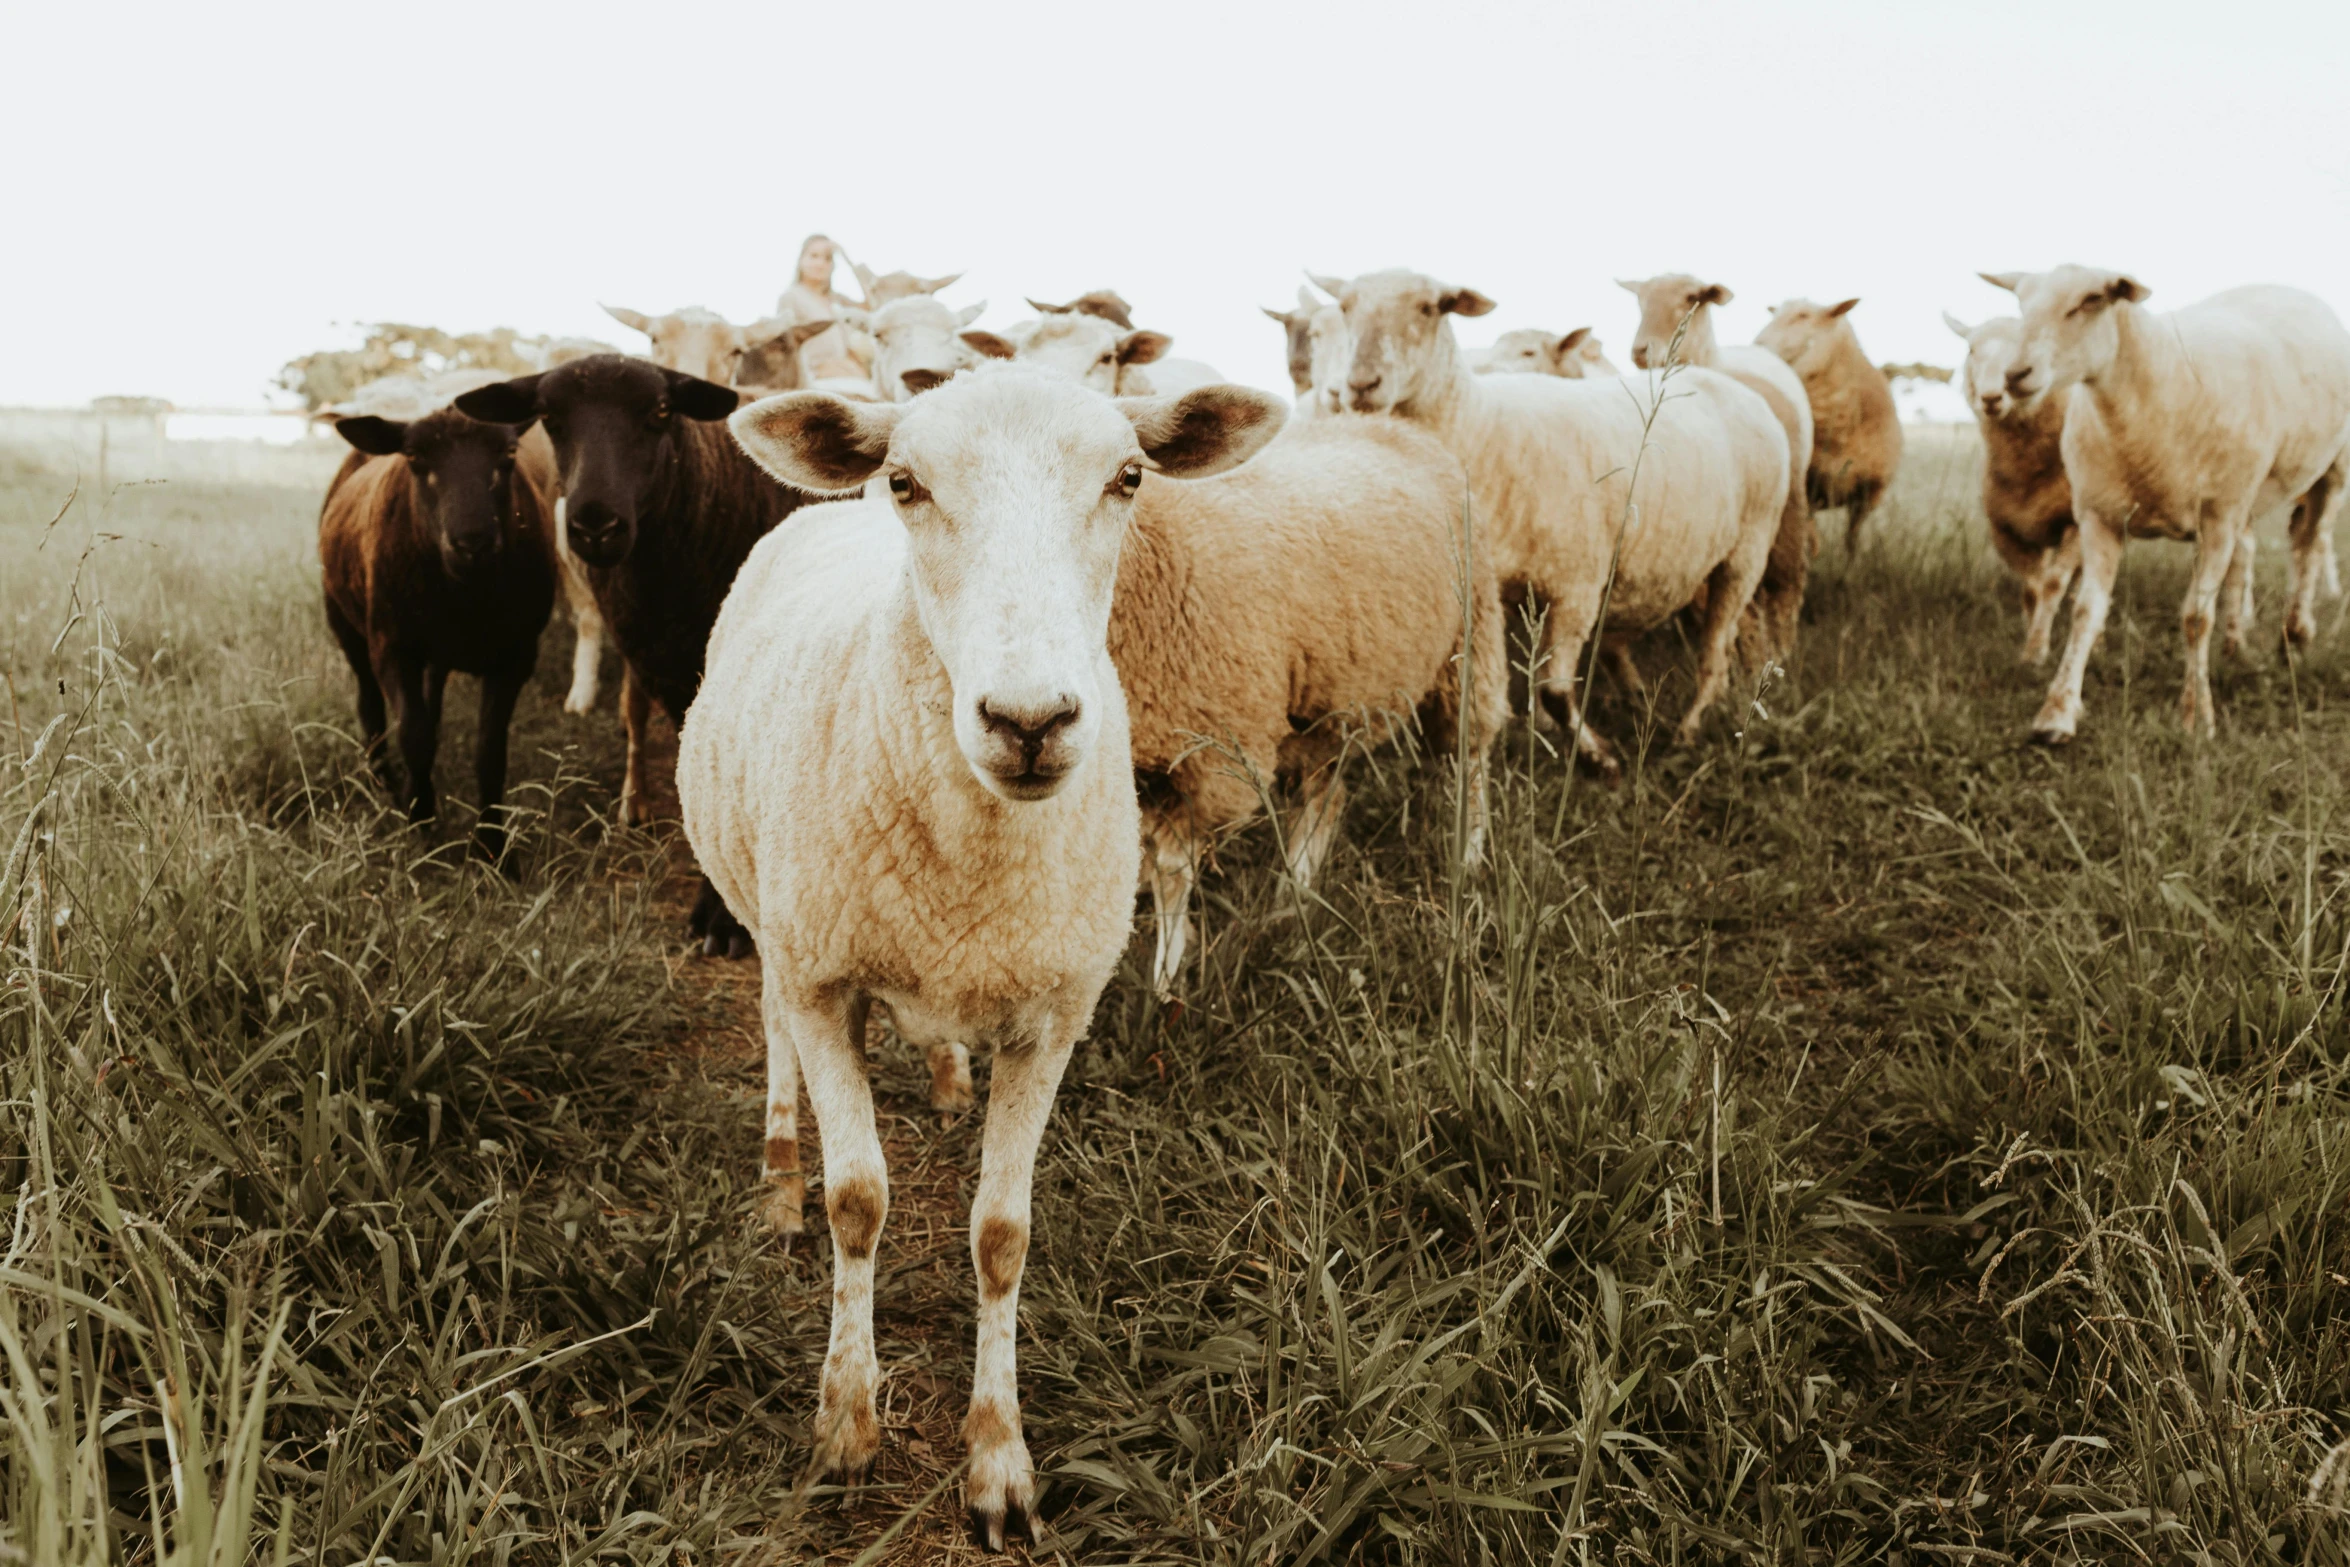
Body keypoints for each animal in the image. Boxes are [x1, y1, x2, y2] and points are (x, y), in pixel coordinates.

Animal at [690, 364, 1287, 1541]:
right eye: (907, 482)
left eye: (1129, 476)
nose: (1030, 720)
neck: (974, 856)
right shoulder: (824, 975)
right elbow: (859, 1203)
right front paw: (846, 1424)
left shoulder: (1054, 1011)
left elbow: (1003, 1232)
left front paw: (999, 1460)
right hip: (771, 909)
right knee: (773, 1032)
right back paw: (780, 1175)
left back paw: (944, 1076)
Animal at [1316, 274, 1785, 779]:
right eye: (1344, 307)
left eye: (1431, 307)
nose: (1360, 385)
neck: (1481, 426)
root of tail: (1724, 381)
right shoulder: (1505, 595)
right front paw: (1540, 737)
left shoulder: (1577, 586)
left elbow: (1554, 692)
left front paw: (1599, 757)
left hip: (1748, 548)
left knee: (1714, 648)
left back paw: (1690, 728)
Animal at [1626, 276, 1823, 662]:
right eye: (1639, 300)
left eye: (1692, 298)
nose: (1642, 351)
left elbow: (1784, 578)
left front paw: (1773, 652)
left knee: (1785, 579)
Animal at [1983, 266, 2350, 747]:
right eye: (2021, 304)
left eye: (2091, 300)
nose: (2014, 375)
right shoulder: (2097, 516)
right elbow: (2084, 611)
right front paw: (2056, 714)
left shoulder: (2217, 518)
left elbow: (2195, 617)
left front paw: (2197, 717)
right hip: (2246, 495)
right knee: (2259, 551)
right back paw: (2237, 643)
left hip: (2331, 468)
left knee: (2311, 545)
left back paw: (2295, 635)